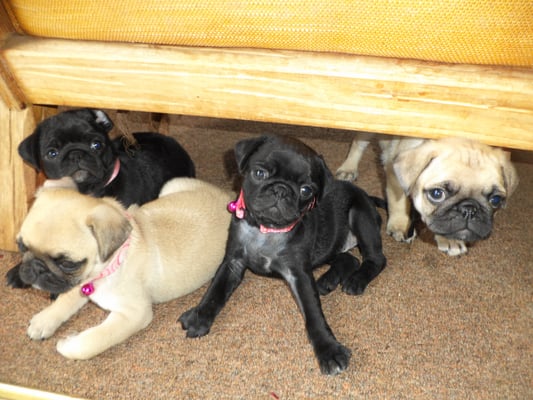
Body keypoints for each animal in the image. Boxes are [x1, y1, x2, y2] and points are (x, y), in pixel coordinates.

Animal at [180, 136, 386, 376]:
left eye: (306, 190)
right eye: (259, 173)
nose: (281, 190)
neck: (265, 231)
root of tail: (367, 196)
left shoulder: (299, 274)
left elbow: (314, 316)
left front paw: (329, 350)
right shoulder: (232, 262)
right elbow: (215, 292)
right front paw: (199, 317)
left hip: (360, 217)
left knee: (376, 259)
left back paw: (356, 280)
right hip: (327, 249)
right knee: (349, 258)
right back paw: (326, 281)